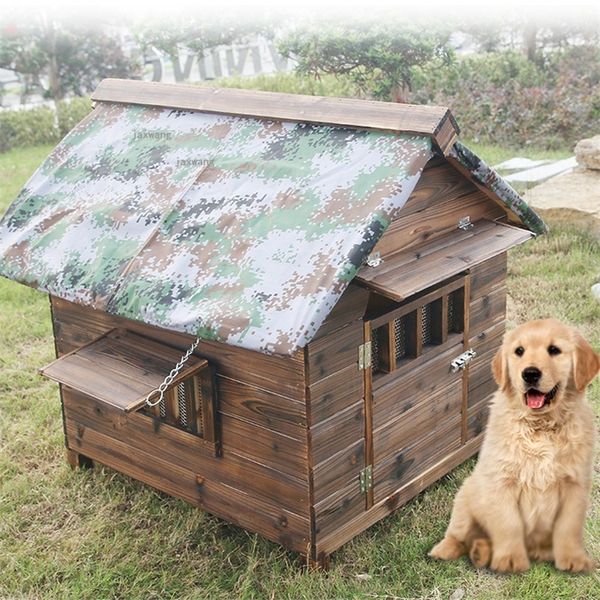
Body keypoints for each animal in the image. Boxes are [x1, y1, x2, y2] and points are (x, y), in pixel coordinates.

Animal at [432, 322, 600, 576]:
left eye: (554, 350)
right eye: (519, 351)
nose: (530, 373)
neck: (540, 427)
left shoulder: (575, 484)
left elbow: (568, 526)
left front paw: (573, 559)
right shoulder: (502, 482)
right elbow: (508, 523)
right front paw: (510, 560)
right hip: (465, 497)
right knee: (460, 535)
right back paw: (451, 550)